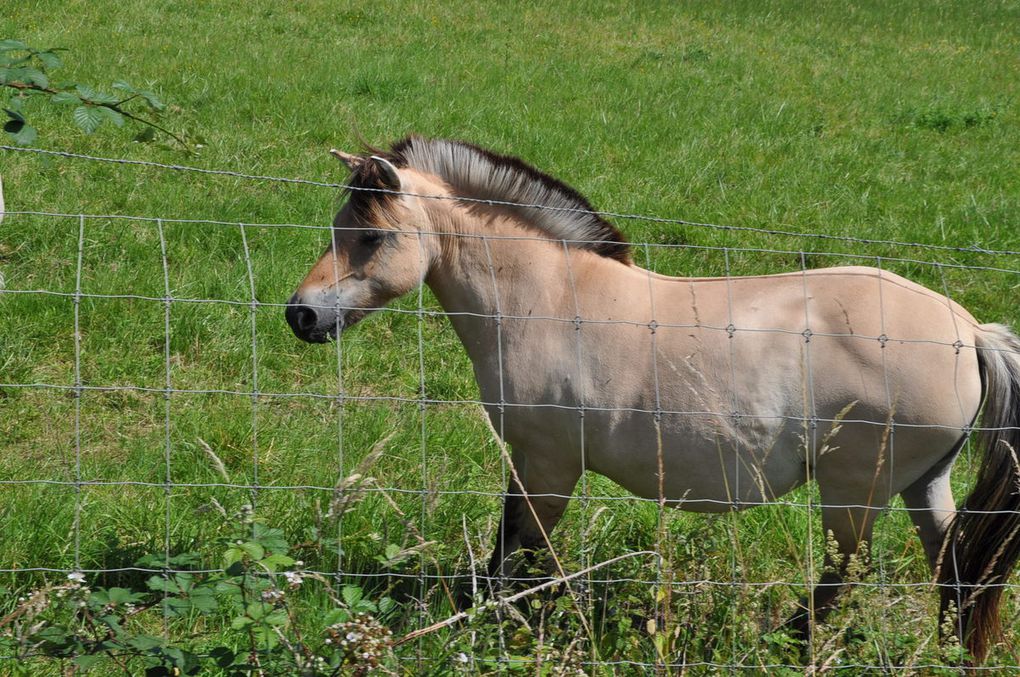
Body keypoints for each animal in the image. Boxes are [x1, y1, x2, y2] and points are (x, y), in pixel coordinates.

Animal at [287, 136, 1020, 660]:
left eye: (372, 235)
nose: (301, 314)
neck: (549, 300)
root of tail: (968, 330)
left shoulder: (548, 463)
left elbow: (521, 552)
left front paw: (511, 626)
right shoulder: (533, 461)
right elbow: (514, 547)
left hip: (853, 493)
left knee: (850, 571)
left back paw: (786, 642)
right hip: (922, 483)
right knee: (957, 568)